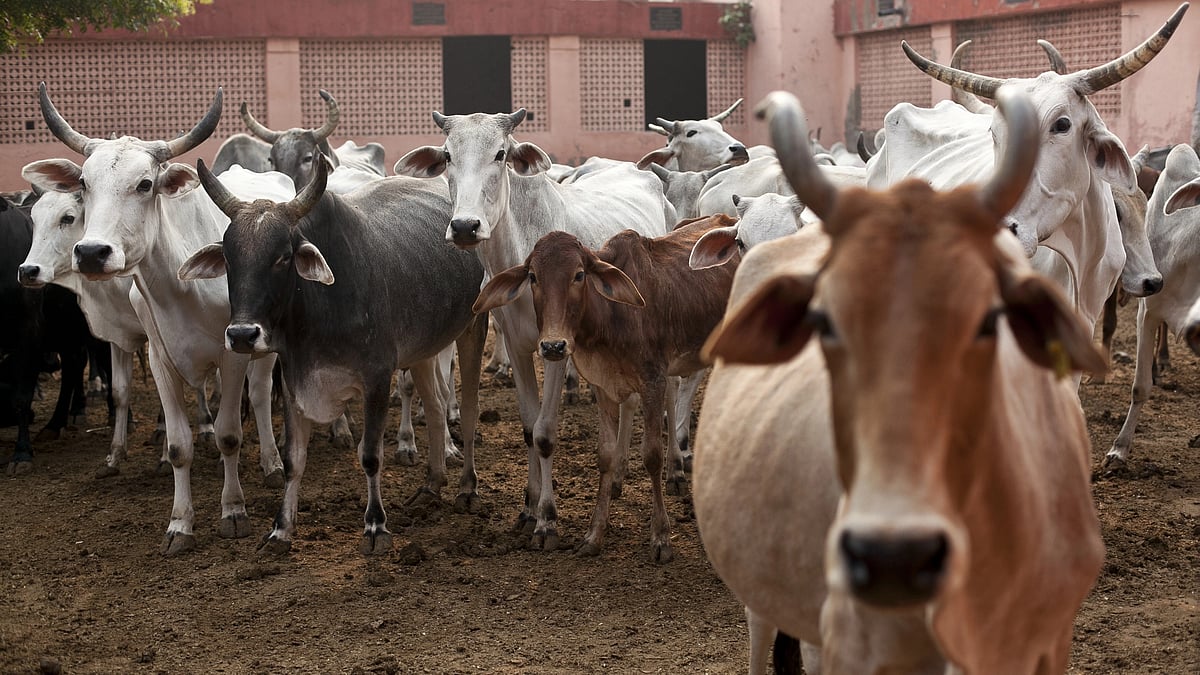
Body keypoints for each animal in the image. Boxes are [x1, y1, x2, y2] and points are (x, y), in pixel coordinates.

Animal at [35, 84, 290, 554]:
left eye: (145, 183)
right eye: (84, 184)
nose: (92, 252)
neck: (177, 282)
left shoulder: (233, 354)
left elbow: (229, 434)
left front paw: (233, 511)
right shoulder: (159, 359)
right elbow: (177, 445)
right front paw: (180, 524)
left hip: (263, 349)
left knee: (262, 395)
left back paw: (272, 463)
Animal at [175, 156, 484, 552]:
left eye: (283, 257)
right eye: (229, 258)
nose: (242, 334)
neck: (321, 310)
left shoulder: (376, 379)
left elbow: (370, 456)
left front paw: (375, 527)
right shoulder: (295, 382)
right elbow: (294, 460)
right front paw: (280, 530)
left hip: (474, 326)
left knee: (469, 409)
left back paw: (467, 489)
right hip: (423, 349)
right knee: (434, 405)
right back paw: (431, 485)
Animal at [393, 109, 676, 552]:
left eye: (500, 153)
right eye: (447, 155)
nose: (464, 226)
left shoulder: (557, 349)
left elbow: (544, 432)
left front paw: (547, 520)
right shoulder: (516, 344)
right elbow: (528, 428)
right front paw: (528, 509)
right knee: (627, 400)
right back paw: (617, 477)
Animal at [470, 214, 734, 562]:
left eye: (579, 275)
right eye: (533, 277)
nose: (553, 345)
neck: (611, 315)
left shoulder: (652, 380)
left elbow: (651, 455)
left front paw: (661, 538)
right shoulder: (604, 386)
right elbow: (605, 456)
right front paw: (594, 535)